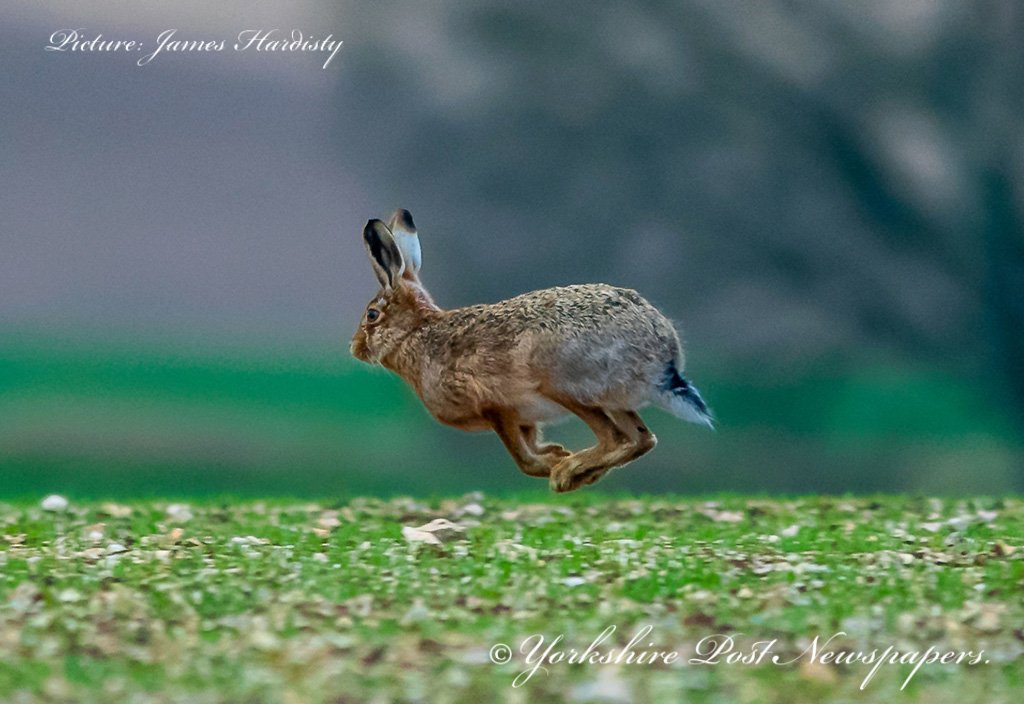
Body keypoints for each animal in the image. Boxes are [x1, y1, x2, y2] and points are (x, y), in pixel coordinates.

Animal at [350, 209, 713, 492]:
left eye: (372, 315)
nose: (354, 348)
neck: (416, 333)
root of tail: (663, 356)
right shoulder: (525, 418)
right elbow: (533, 444)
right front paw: (555, 452)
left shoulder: (496, 406)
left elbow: (523, 459)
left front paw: (554, 463)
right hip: (612, 400)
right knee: (641, 439)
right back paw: (579, 471)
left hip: (564, 385)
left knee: (617, 438)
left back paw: (568, 474)